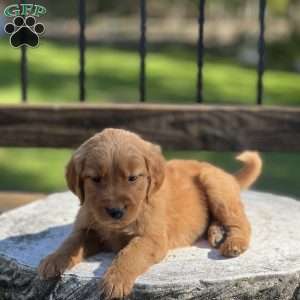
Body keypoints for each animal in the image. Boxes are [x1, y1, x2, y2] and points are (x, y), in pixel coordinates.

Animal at [38, 127, 262, 298]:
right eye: (95, 179)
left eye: (132, 178)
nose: (115, 211)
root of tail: (229, 176)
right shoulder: (88, 229)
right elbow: (70, 242)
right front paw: (53, 260)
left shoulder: (151, 238)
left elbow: (130, 254)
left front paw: (115, 280)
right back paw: (216, 232)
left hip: (215, 185)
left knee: (241, 222)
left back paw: (233, 243)